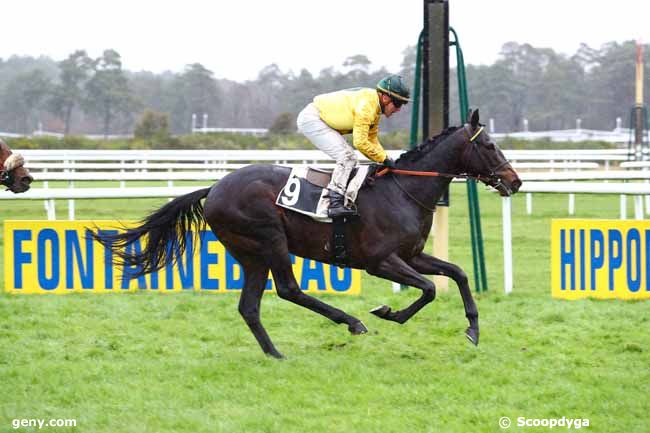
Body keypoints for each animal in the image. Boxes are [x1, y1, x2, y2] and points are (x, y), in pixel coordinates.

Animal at [93, 109, 520, 358]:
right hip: (268, 239)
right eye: (489, 145)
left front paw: (473, 329)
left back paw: (275, 353)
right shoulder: (381, 261)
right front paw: (389, 312)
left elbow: (457, 274)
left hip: (250, 254)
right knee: (288, 290)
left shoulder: (412, 255)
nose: (514, 181)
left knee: (250, 306)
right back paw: (351, 321)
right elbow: (429, 289)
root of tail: (214, 188)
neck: (403, 189)